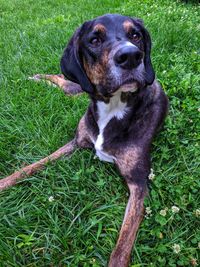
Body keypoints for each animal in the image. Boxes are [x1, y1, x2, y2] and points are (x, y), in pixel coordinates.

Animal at [0, 14, 169, 267]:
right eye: (94, 40)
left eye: (135, 35)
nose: (131, 56)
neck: (113, 106)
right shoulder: (76, 142)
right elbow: (30, 167)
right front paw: (4, 182)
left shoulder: (139, 184)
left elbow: (122, 247)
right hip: (79, 85)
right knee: (62, 79)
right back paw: (36, 77)